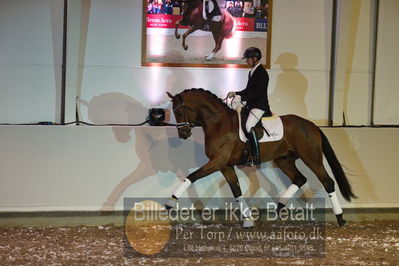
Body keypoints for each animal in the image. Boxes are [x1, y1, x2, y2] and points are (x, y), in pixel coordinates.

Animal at [164, 89, 358, 227]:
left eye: (179, 112)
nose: (183, 134)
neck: (219, 123)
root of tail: (312, 125)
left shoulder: (217, 162)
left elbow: (191, 176)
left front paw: (170, 202)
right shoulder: (225, 166)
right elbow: (236, 191)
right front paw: (248, 220)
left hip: (311, 158)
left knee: (327, 182)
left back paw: (340, 219)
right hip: (284, 160)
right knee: (299, 179)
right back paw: (276, 209)